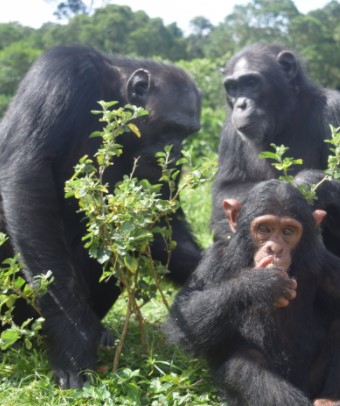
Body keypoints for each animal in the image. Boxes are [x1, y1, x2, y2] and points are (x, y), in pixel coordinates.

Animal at [0, 45, 202, 390]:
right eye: (172, 128)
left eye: (188, 134)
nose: (175, 152)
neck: (114, 94)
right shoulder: (61, 72)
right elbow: (29, 178)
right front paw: (73, 339)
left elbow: (162, 226)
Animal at [166, 181, 340, 406]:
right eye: (264, 229)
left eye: (288, 231)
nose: (275, 248)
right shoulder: (214, 260)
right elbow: (184, 314)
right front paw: (262, 284)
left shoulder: (325, 265)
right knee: (244, 362)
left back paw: (329, 400)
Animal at [211, 42, 340, 255]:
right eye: (232, 87)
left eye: (251, 83)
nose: (241, 104)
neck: (285, 119)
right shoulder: (229, 129)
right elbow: (226, 189)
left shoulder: (334, 110)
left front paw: (303, 183)